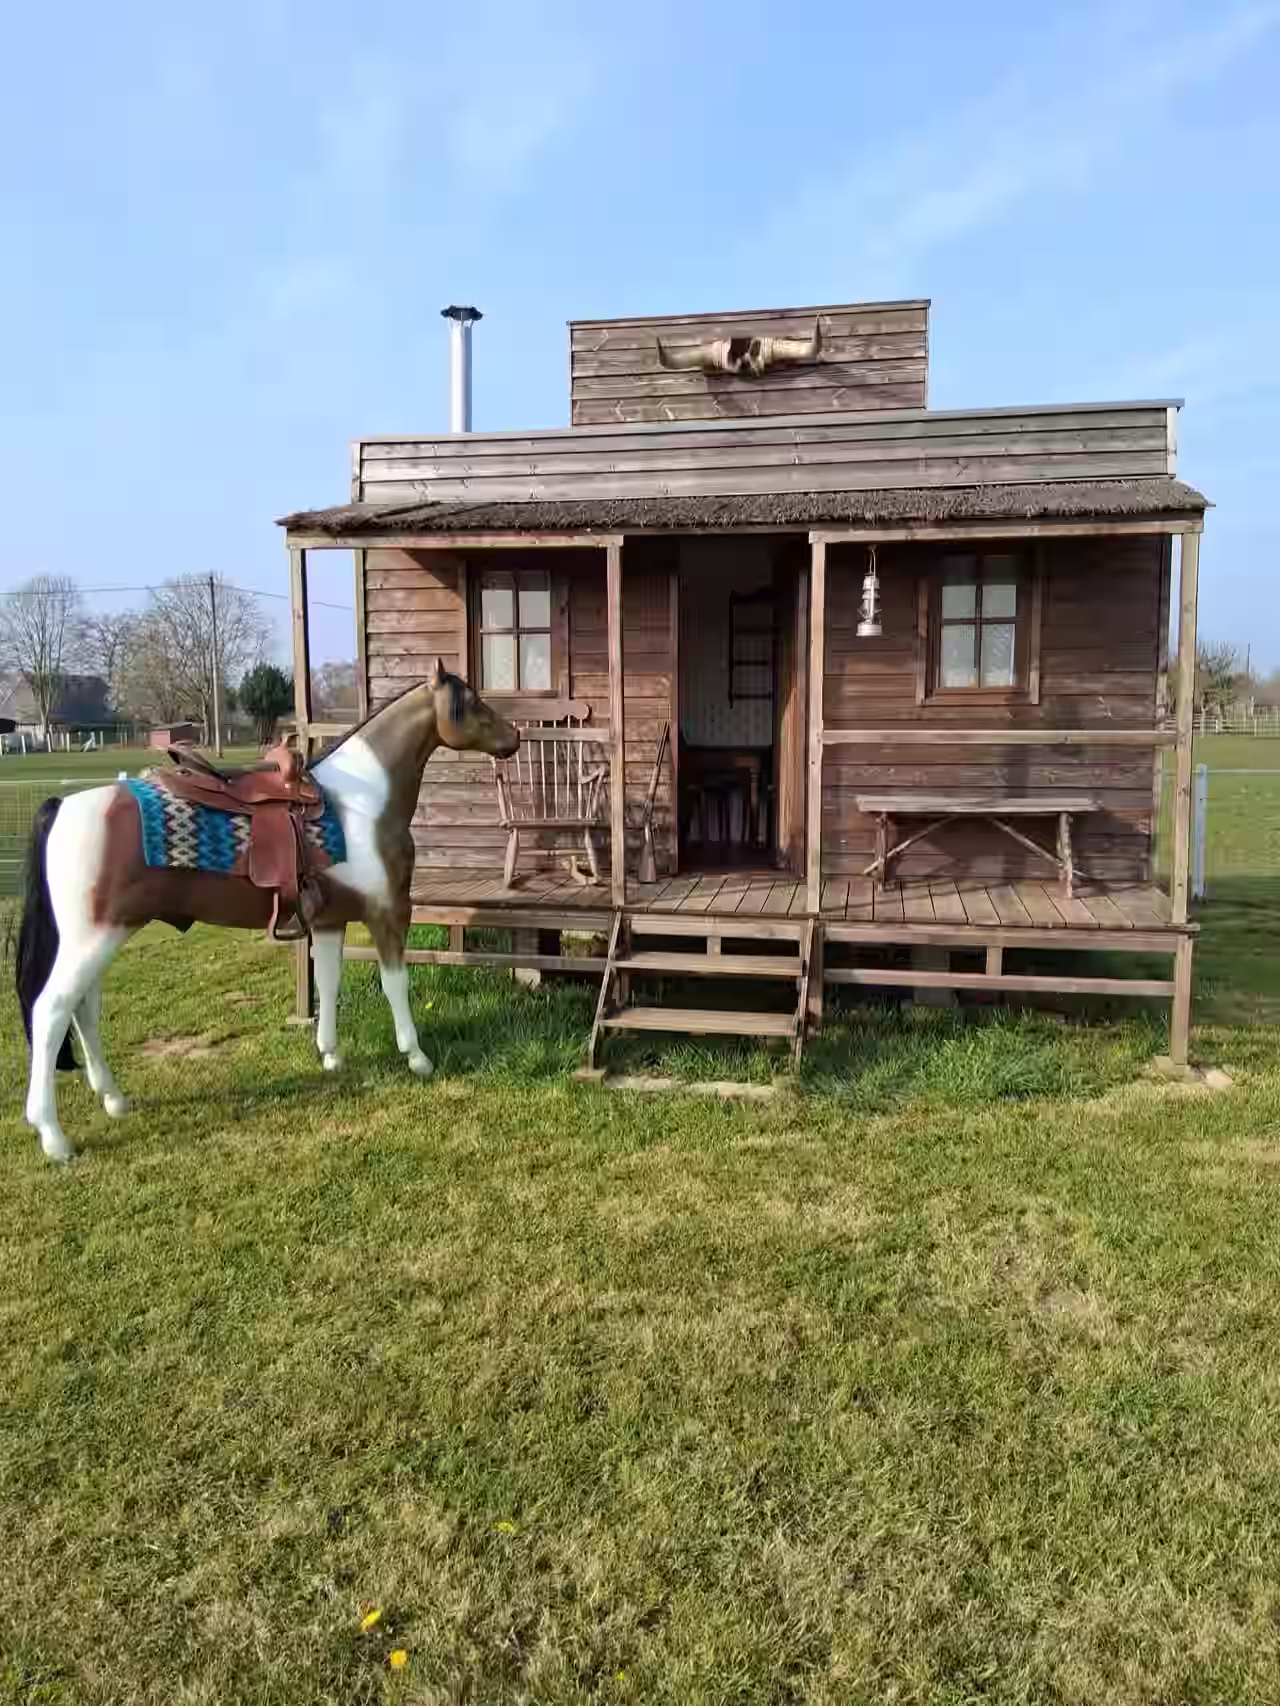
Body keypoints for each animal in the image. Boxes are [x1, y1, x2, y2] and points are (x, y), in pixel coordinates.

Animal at [14, 662, 519, 1162]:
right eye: (472, 700)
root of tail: (63, 807)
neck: (363, 803)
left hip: (103, 939)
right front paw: (416, 1057)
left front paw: (330, 1054)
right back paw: (53, 1136)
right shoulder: (388, 913)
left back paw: (114, 1100)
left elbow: (329, 983)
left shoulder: (330, 920)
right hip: (92, 940)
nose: (513, 736)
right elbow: (396, 985)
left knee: (83, 1011)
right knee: (51, 1011)